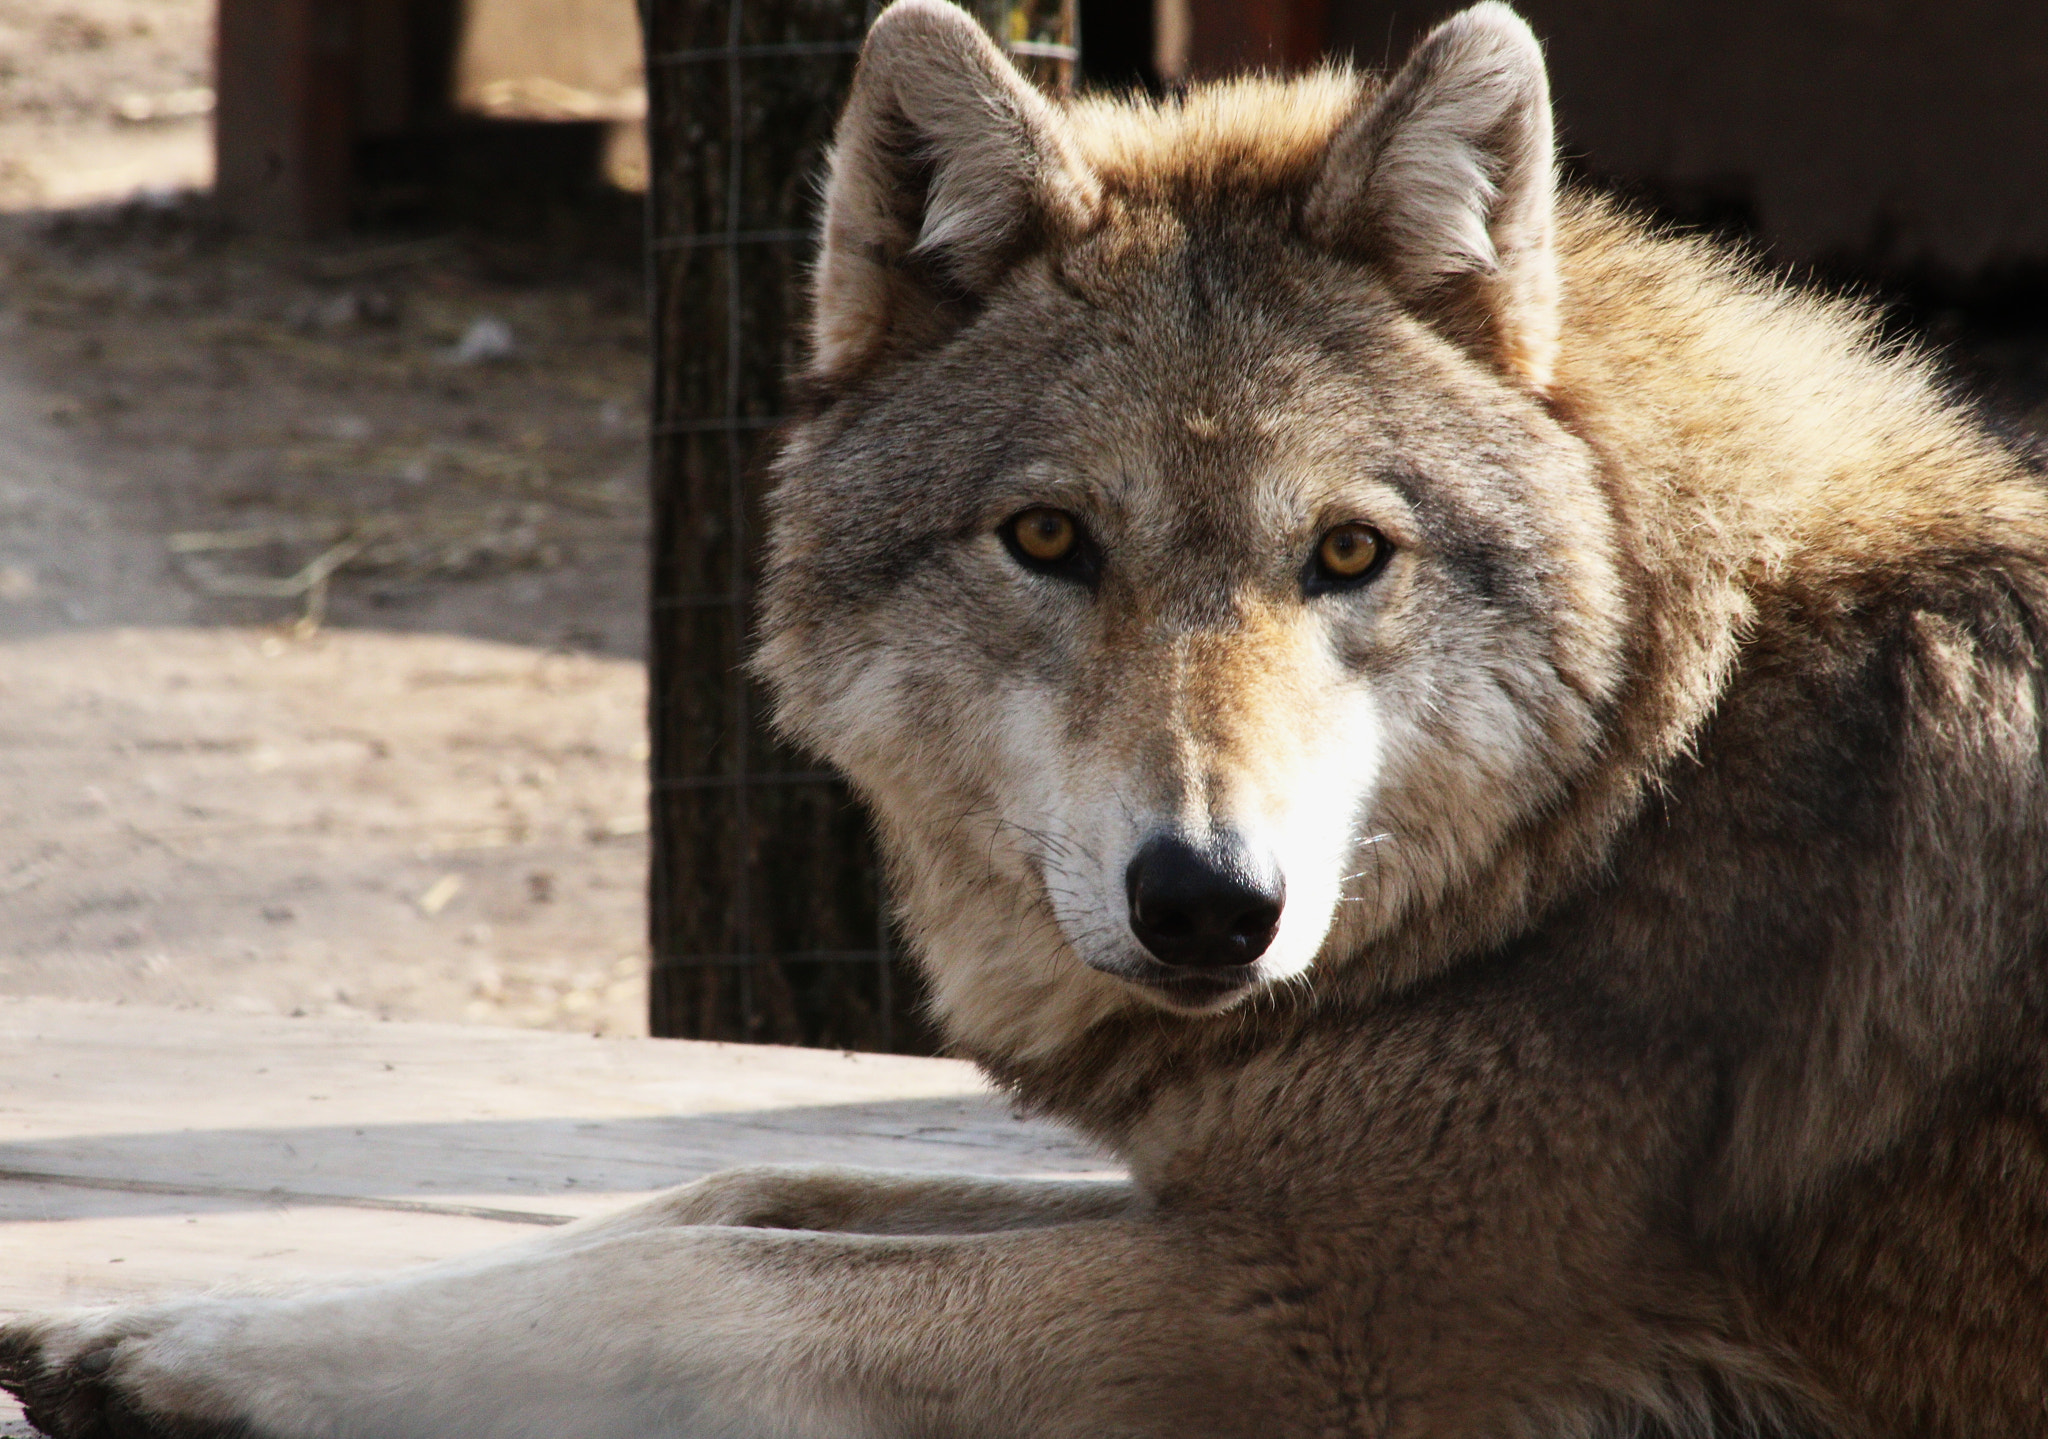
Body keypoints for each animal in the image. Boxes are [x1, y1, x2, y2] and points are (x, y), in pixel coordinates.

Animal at [6, 1, 2048, 1435]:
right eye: (1049, 537)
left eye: (1348, 552)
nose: (1208, 902)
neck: (1640, 792)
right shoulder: (1207, 1209)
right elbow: (713, 1191)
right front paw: (154, 1333)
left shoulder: (1298, 1321)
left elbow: (707, 1282)